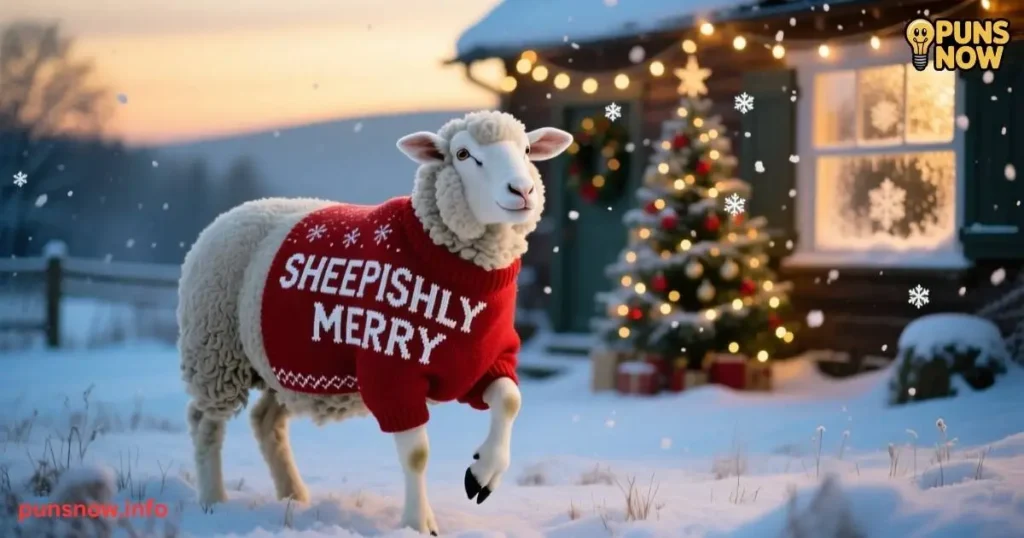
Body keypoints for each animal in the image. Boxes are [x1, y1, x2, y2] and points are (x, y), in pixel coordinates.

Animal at [178, 110, 573, 535]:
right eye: (463, 154)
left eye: (528, 149)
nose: (523, 190)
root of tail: (230, 215)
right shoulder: (391, 372)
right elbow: (417, 454)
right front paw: (418, 523)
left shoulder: (477, 364)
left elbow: (510, 400)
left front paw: (483, 474)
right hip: (215, 351)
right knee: (205, 423)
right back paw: (213, 501)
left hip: (281, 368)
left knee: (266, 421)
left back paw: (293, 496)